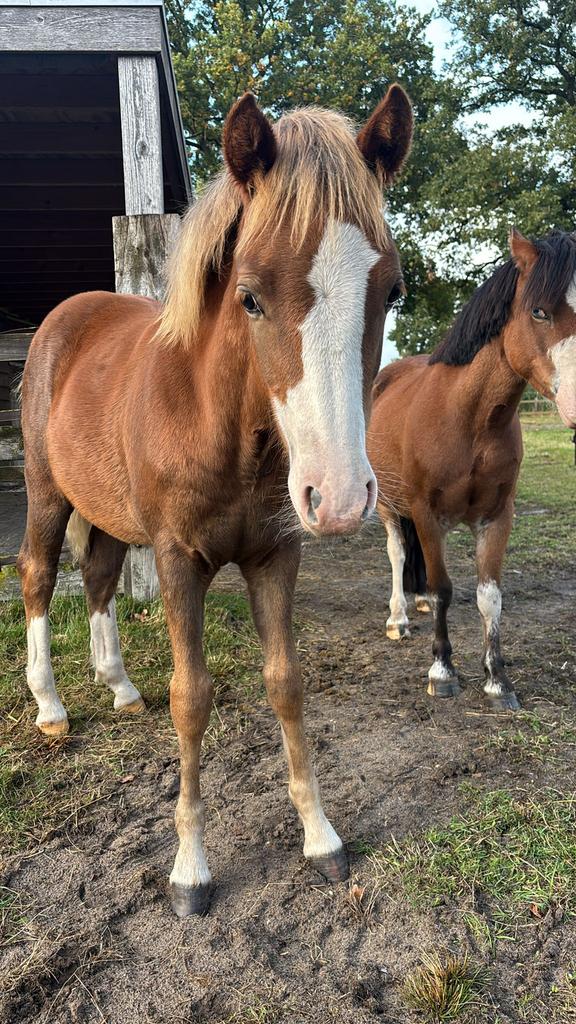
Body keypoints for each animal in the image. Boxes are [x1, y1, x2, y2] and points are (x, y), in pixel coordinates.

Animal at [17, 88, 413, 916]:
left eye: (391, 289)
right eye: (250, 297)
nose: (339, 497)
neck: (223, 422)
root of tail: (67, 318)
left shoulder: (275, 556)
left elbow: (286, 685)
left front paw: (321, 839)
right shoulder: (179, 561)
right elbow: (191, 699)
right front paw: (190, 870)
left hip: (108, 513)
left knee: (98, 579)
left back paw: (118, 687)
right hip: (47, 494)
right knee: (38, 578)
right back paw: (51, 708)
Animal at [368, 229, 576, 712]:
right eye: (539, 310)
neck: (469, 420)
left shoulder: (497, 516)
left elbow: (489, 597)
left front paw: (498, 679)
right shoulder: (427, 515)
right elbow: (445, 588)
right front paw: (442, 671)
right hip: (390, 506)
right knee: (397, 554)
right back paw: (399, 617)